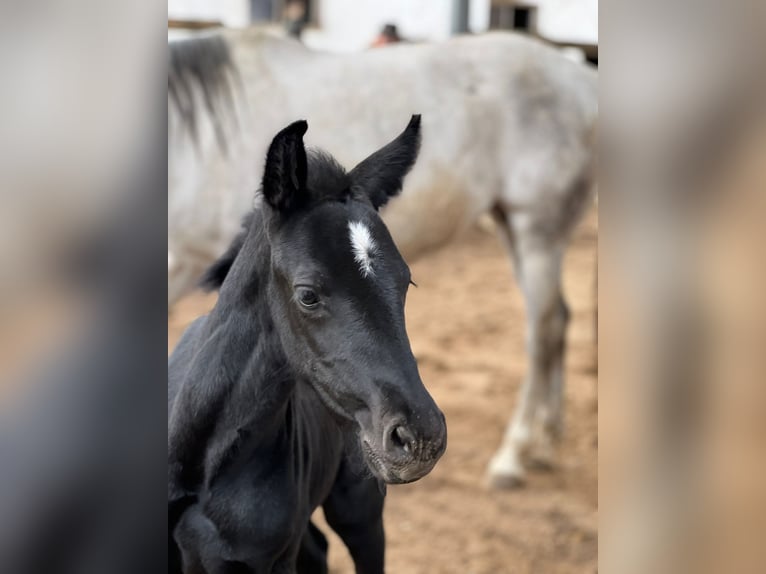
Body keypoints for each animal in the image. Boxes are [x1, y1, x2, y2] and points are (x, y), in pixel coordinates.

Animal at [168, 29, 600, 488]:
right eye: (308, 295)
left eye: (406, 281)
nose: (422, 438)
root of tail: (583, 79)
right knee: (560, 319)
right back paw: (546, 442)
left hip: (538, 229)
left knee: (544, 328)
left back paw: (513, 454)